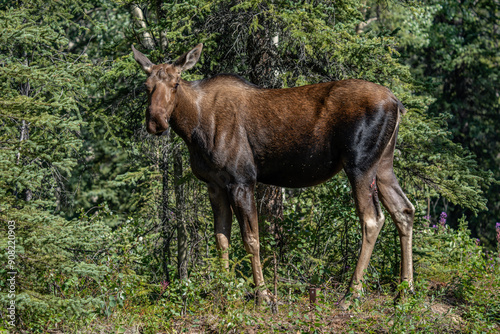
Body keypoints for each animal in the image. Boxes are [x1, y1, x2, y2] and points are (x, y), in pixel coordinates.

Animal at [132, 43, 414, 306]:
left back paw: (352, 293)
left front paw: (264, 295)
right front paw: (224, 291)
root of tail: (396, 103)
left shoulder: (242, 180)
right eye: (146, 86)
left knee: (372, 219)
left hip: (359, 164)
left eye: (176, 83)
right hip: (383, 164)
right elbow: (222, 238)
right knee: (404, 209)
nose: (156, 122)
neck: (193, 129)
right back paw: (405, 291)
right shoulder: (214, 184)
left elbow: (252, 239)